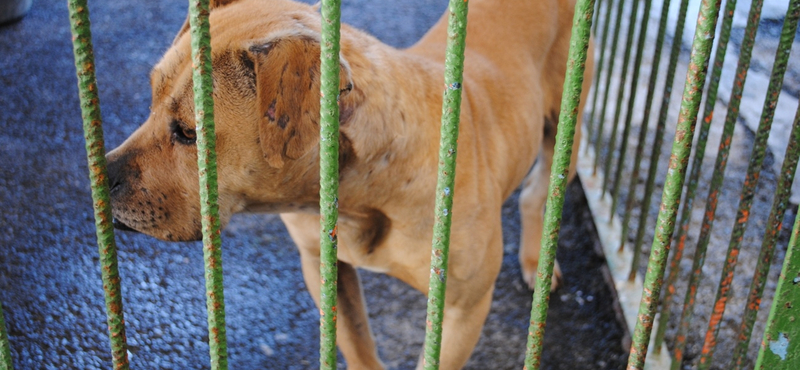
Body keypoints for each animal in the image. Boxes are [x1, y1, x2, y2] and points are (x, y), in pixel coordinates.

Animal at [104, 0, 592, 368]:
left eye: (189, 132)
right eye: (150, 101)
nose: (99, 176)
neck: (364, 189)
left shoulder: (461, 312)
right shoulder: (323, 268)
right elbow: (357, 346)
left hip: (565, 132)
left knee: (539, 193)